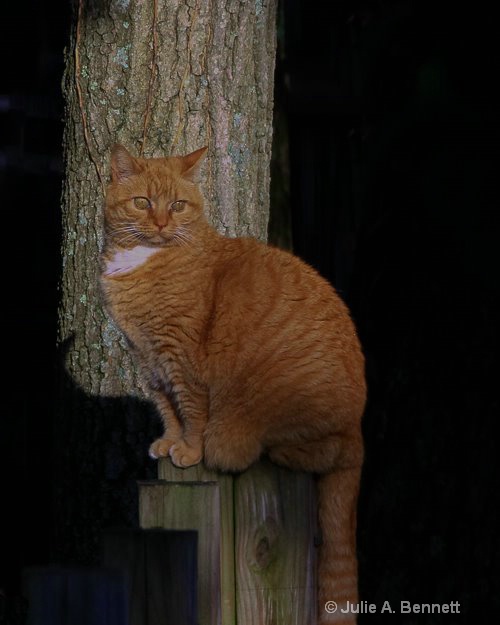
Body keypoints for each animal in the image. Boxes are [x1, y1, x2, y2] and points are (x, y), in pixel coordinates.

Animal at [100, 145, 368, 620]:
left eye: (178, 205)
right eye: (143, 202)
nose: (162, 223)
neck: (145, 261)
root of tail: (357, 428)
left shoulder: (181, 358)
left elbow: (191, 410)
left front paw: (189, 450)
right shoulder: (151, 362)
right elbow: (168, 410)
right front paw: (168, 444)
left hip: (288, 422)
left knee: (317, 453)